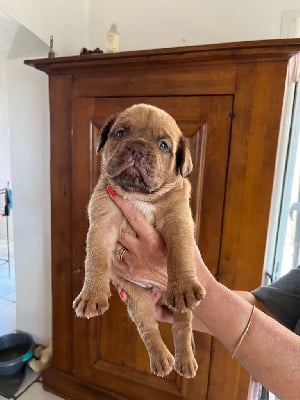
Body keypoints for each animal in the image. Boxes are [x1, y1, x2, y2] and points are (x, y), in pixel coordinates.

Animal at [72, 104, 206, 378]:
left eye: (164, 145)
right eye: (121, 132)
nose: (138, 149)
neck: (139, 196)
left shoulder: (178, 219)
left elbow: (180, 251)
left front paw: (183, 286)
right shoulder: (103, 222)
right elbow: (95, 259)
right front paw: (91, 295)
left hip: (180, 308)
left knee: (182, 326)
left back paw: (185, 360)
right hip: (136, 298)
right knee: (148, 328)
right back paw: (162, 359)